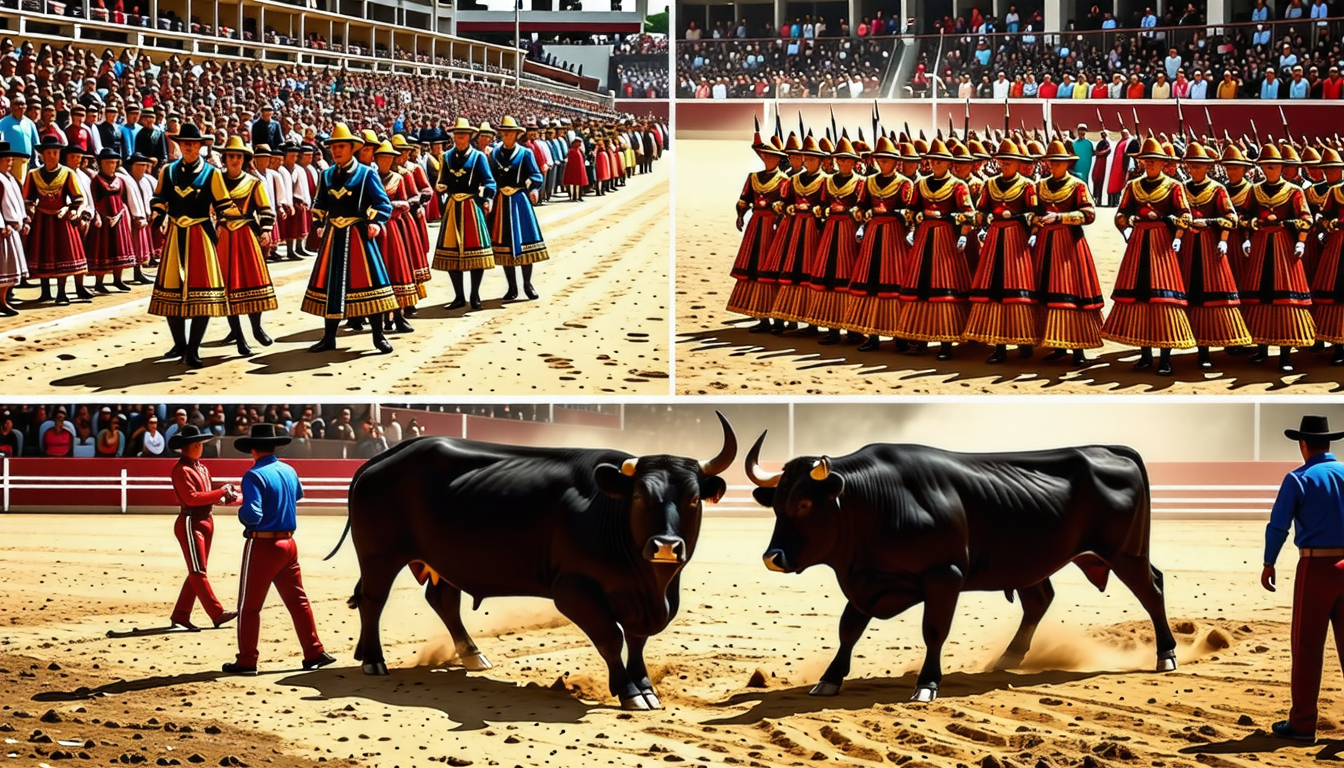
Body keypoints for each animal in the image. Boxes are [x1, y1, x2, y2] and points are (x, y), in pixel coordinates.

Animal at [325, 414, 741, 710]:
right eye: (639, 496)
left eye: (693, 499)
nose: (666, 546)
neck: (648, 584)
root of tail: (384, 457)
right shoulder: (574, 592)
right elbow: (611, 637)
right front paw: (627, 690)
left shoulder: (646, 601)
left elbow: (638, 641)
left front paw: (645, 688)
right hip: (379, 554)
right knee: (373, 599)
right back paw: (373, 660)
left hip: (444, 560)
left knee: (442, 601)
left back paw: (471, 656)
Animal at [747, 433, 1177, 704]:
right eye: (777, 504)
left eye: (805, 504)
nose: (772, 557)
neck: (876, 502)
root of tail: (1108, 449)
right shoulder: (869, 584)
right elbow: (848, 629)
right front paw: (829, 679)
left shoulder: (944, 576)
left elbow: (934, 631)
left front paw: (926, 685)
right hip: (1032, 564)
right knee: (1039, 599)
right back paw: (1008, 659)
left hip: (1126, 554)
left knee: (1151, 589)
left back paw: (1166, 655)